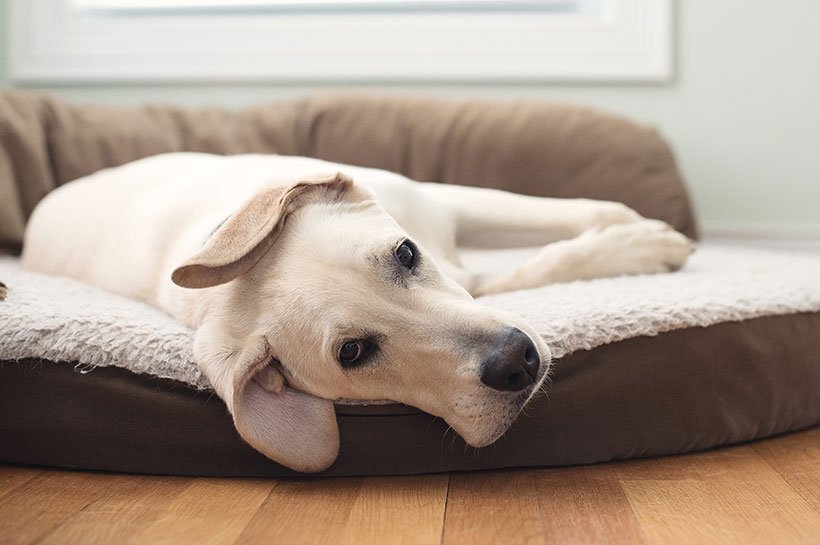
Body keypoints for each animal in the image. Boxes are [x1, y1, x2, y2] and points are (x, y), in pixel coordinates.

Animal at [20, 151, 692, 470]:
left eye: (406, 253)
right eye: (354, 353)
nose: (517, 363)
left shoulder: (443, 207)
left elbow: (562, 214)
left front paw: (637, 232)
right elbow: (537, 266)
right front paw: (635, 248)